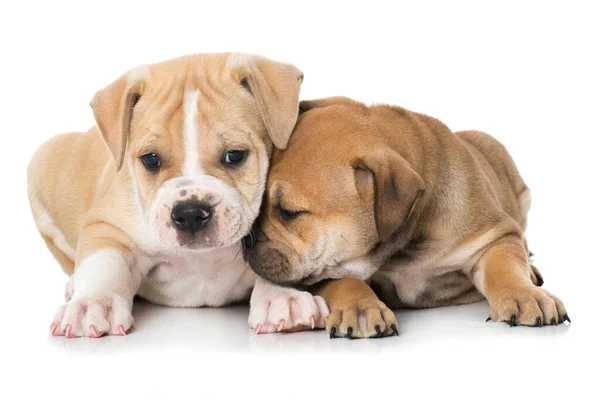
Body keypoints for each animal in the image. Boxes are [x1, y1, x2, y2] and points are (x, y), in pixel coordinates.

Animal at [28, 54, 328, 338]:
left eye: (235, 155)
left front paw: (283, 297)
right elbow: (104, 264)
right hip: (41, 162)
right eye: (151, 159)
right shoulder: (108, 227)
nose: (190, 213)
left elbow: (272, 256)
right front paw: (92, 303)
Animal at [244, 96, 568, 338]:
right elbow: (345, 281)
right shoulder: (328, 270)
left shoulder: (495, 236)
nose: (246, 240)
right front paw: (360, 308)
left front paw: (524, 296)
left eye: (289, 212)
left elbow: (505, 267)